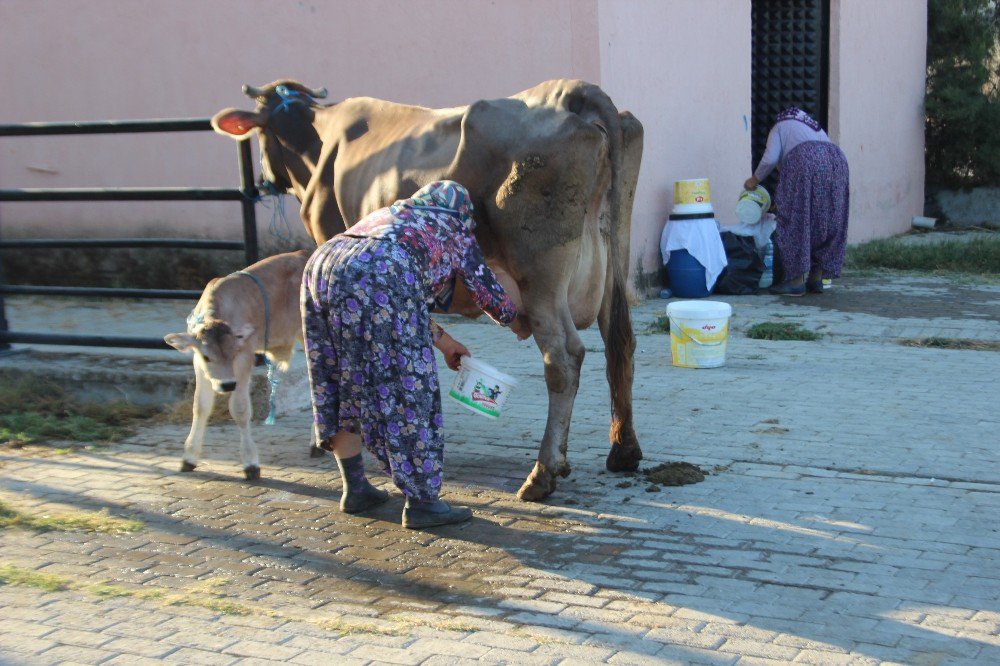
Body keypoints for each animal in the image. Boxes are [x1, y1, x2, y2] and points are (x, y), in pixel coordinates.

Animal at [164, 249, 308, 478]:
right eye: (207, 357)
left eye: (233, 353)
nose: (227, 385)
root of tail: (303, 254)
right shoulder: (199, 365)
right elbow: (200, 406)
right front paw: (189, 457)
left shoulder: (244, 359)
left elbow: (240, 409)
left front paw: (250, 463)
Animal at [214, 79, 644, 498]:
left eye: (260, 133)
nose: (260, 183)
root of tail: (575, 91)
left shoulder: (325, 233)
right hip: (614, 259)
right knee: (619, 344)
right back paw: (623, 452)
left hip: (541, 275)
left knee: (564, 359)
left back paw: (542, 473)